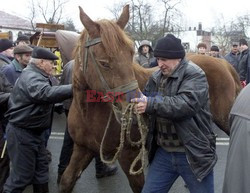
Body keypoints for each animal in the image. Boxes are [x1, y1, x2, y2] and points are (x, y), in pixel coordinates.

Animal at [58, 4, 240, 193]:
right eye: (103, 63)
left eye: (130, 54)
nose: (133, 108)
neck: (88, 113)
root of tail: (224, 64)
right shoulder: (82, 149)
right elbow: (66, 180)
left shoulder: (129, 155)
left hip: (225, 119)